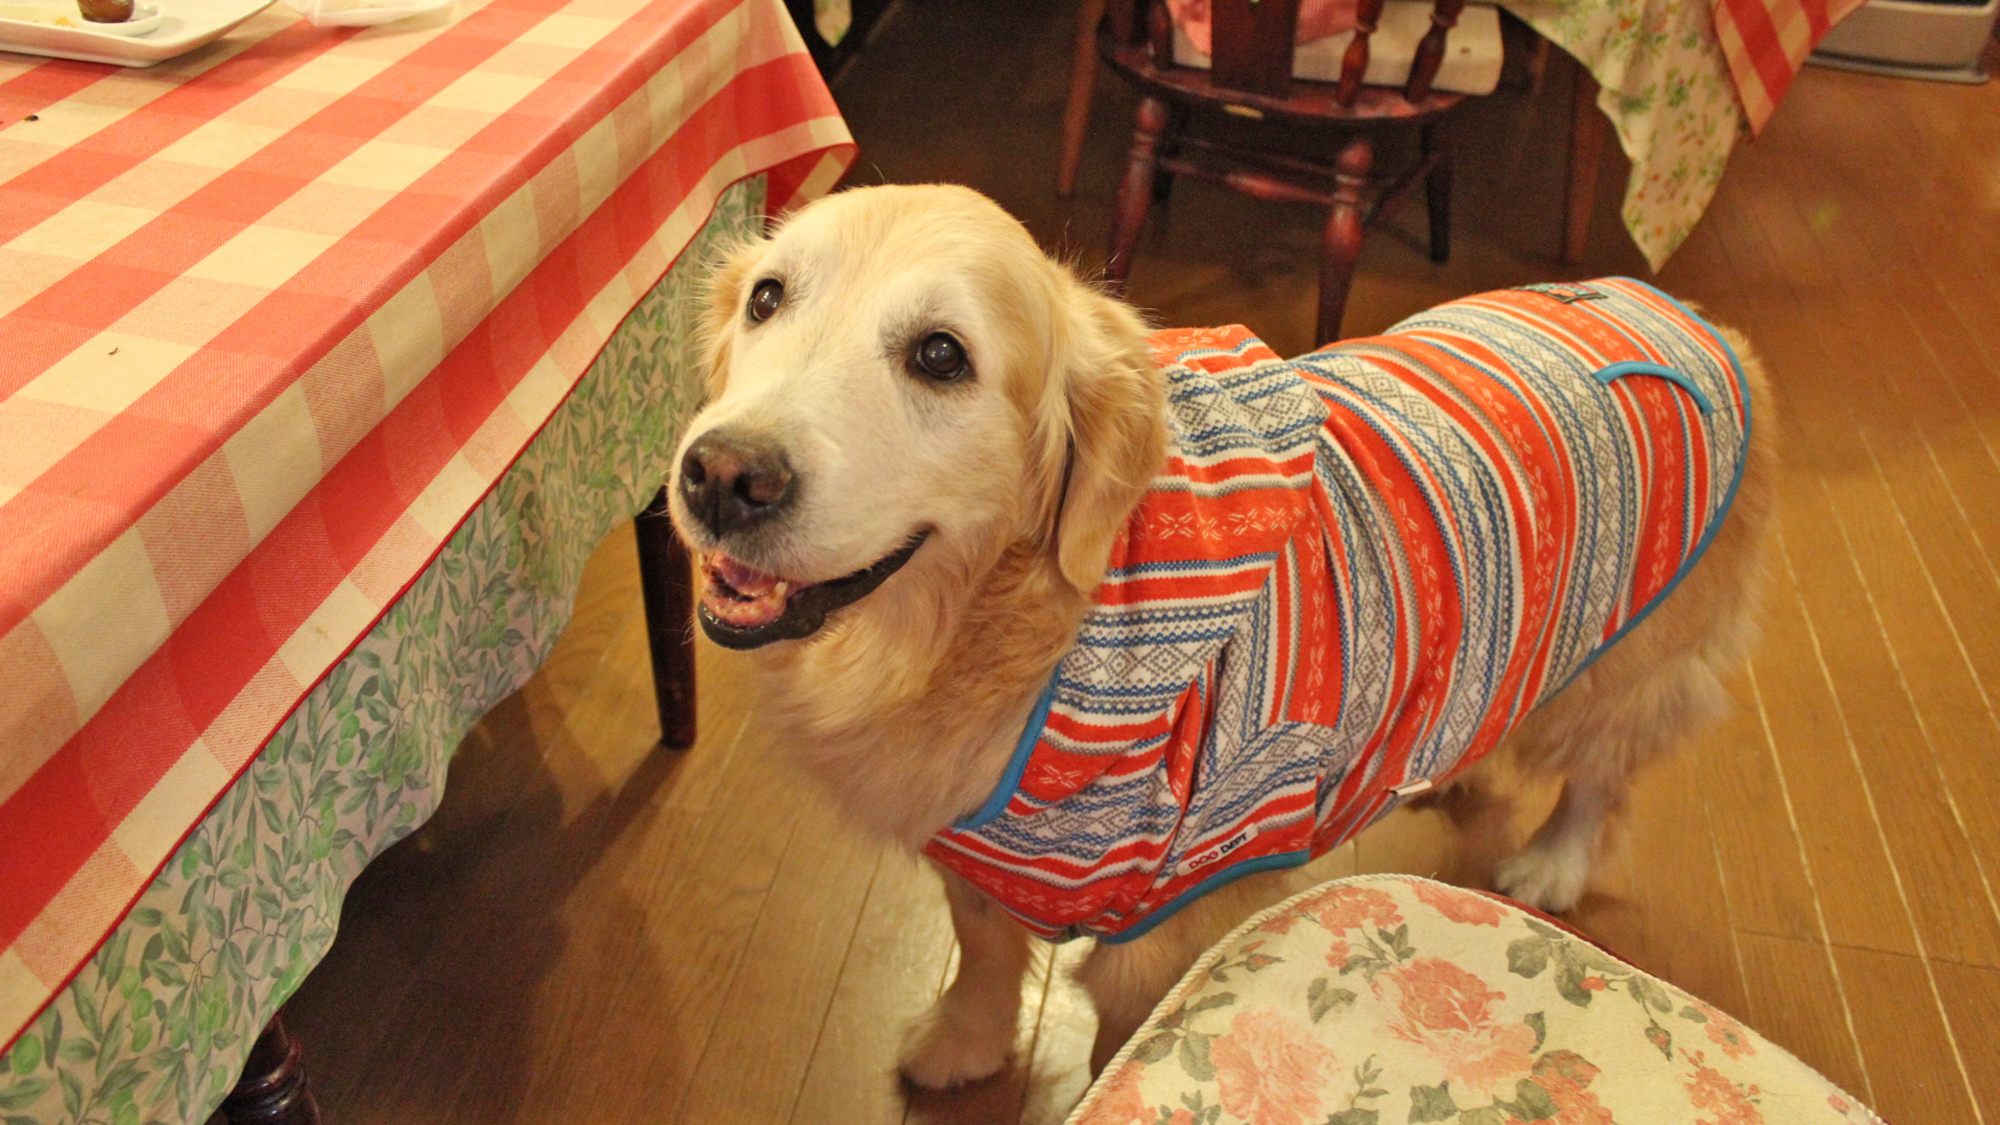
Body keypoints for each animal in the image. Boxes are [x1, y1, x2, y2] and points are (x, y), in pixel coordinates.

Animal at [664, 184, 1776, 1088]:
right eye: (766, 298)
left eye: (941, 355)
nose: (721, 475)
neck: (1029, 638)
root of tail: (1694, 317)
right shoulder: (979, 857)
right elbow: (982, 951)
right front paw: (961, 1045)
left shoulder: (1169, 928)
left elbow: (1131, 1037)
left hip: (1622, 659)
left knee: (1602, 774)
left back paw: (1552, 863)